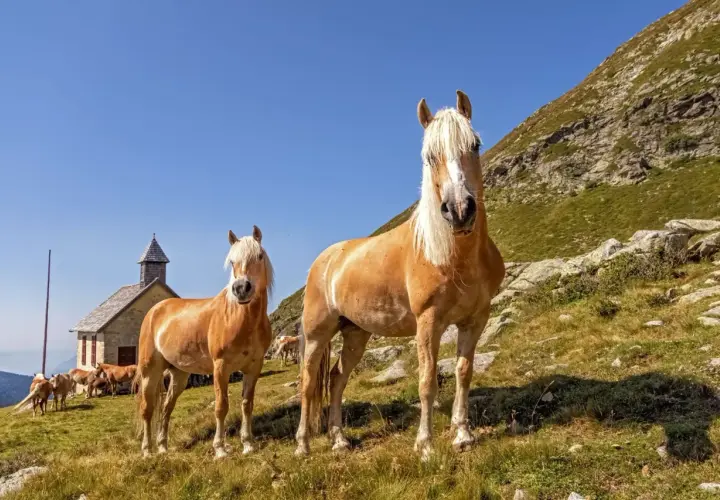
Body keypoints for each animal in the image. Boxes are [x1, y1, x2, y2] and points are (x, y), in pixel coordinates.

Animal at [134, 226, 274, 459]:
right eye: (232, 261)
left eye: (259, 256)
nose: (241, 289)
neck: (240, 320)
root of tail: (155, 310)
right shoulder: (221, 367)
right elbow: (221, 406)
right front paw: (220, 449)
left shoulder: (254, 367)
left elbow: (247, 404)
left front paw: (247, 444)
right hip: (149, 372)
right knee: (147, 409)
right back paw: (147, 451)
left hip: (179, 374)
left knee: (167, 408)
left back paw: (163, 447)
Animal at [295, 91, 505, 461]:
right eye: (429, 155)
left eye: (475, 144)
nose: (459, 210)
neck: (454, 259)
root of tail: (323, 261)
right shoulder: (428, 322)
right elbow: (427, 381)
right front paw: (425, 445)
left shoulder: (476, 319)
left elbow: (464, 373)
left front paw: (463, 435)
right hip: (318, 335)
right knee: (308, 385)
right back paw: (303, 445)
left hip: (355, 334)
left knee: (336, 379)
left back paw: (339, 440)